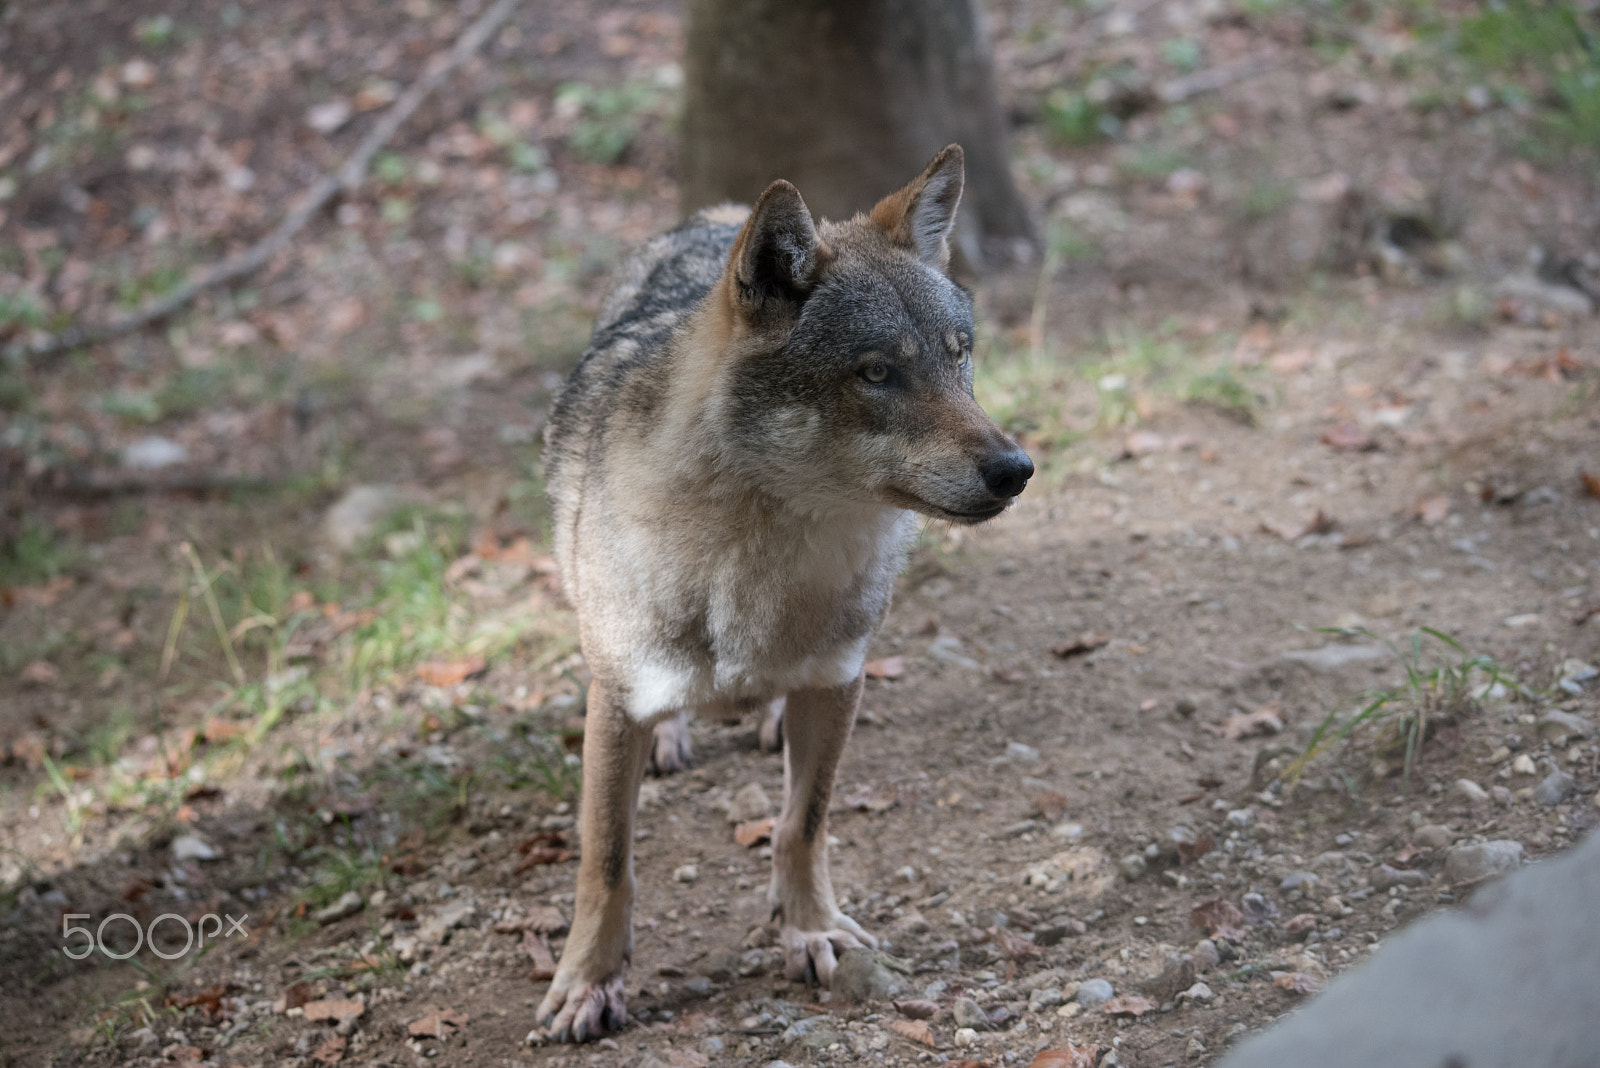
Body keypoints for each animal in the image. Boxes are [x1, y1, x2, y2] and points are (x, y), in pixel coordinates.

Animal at [536, 145, 1033, 1042]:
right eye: (877, 372)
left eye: (959, 355)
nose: (1017, 470)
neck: (762, 560)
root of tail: (716, 214)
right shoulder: (617, 701)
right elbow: (607, 862)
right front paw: (587, 982)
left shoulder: (840, 681)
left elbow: (803, 825)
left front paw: (811, 931)